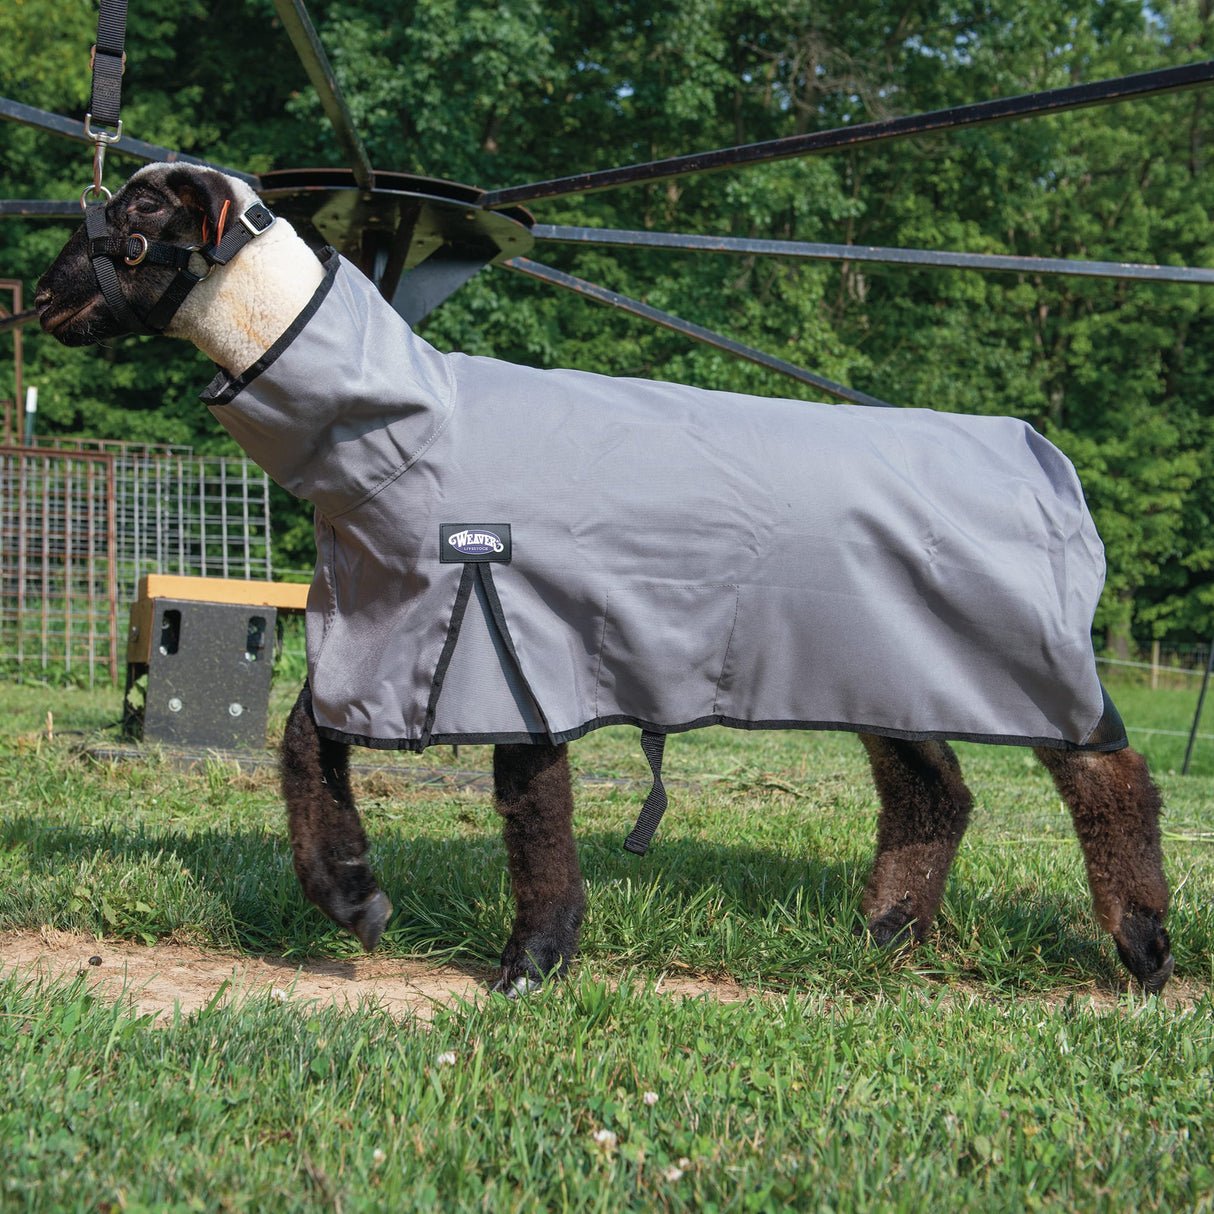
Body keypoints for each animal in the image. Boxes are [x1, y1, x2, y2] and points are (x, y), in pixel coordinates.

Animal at [36, 163, 1174, 994]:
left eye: (140, 210)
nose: (42, 296)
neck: (406, 424)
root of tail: (1045, 457)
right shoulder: (385, 625)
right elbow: (302, 742)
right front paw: (354, 900)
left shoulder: (508, 630)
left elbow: (530, 805)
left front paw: (531, 962)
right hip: (880, 655)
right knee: (931, 789)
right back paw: (885, 934)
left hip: (1025, 648)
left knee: (1108, 773)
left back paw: (1144, 947)